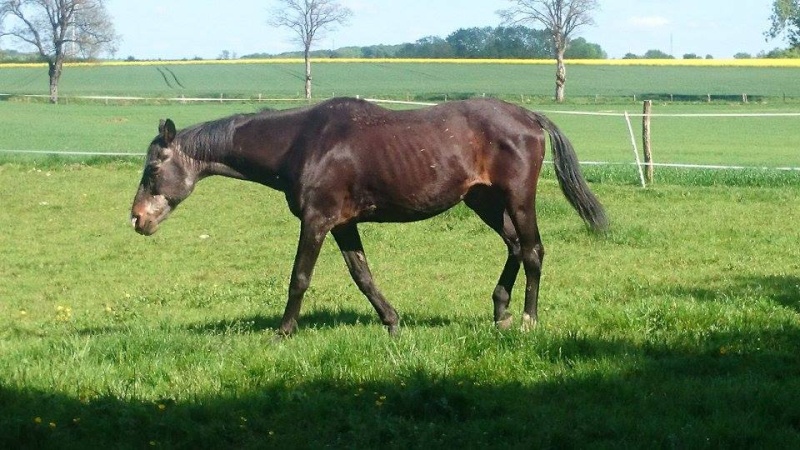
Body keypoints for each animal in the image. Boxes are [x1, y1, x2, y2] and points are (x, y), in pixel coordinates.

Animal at [131, 98, 608, 336]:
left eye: (153, 169)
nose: (136, 219)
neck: (303, 141)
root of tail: (529, 116)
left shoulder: (317, 220)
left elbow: (299, 278)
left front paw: (283, 332)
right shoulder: (343, 224)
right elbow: (362, 275)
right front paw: (392, 322)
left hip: (518, 197)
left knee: (532, 249)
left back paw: (527, 320)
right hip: (484, 201)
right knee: (514, 246)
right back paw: (501, 312)